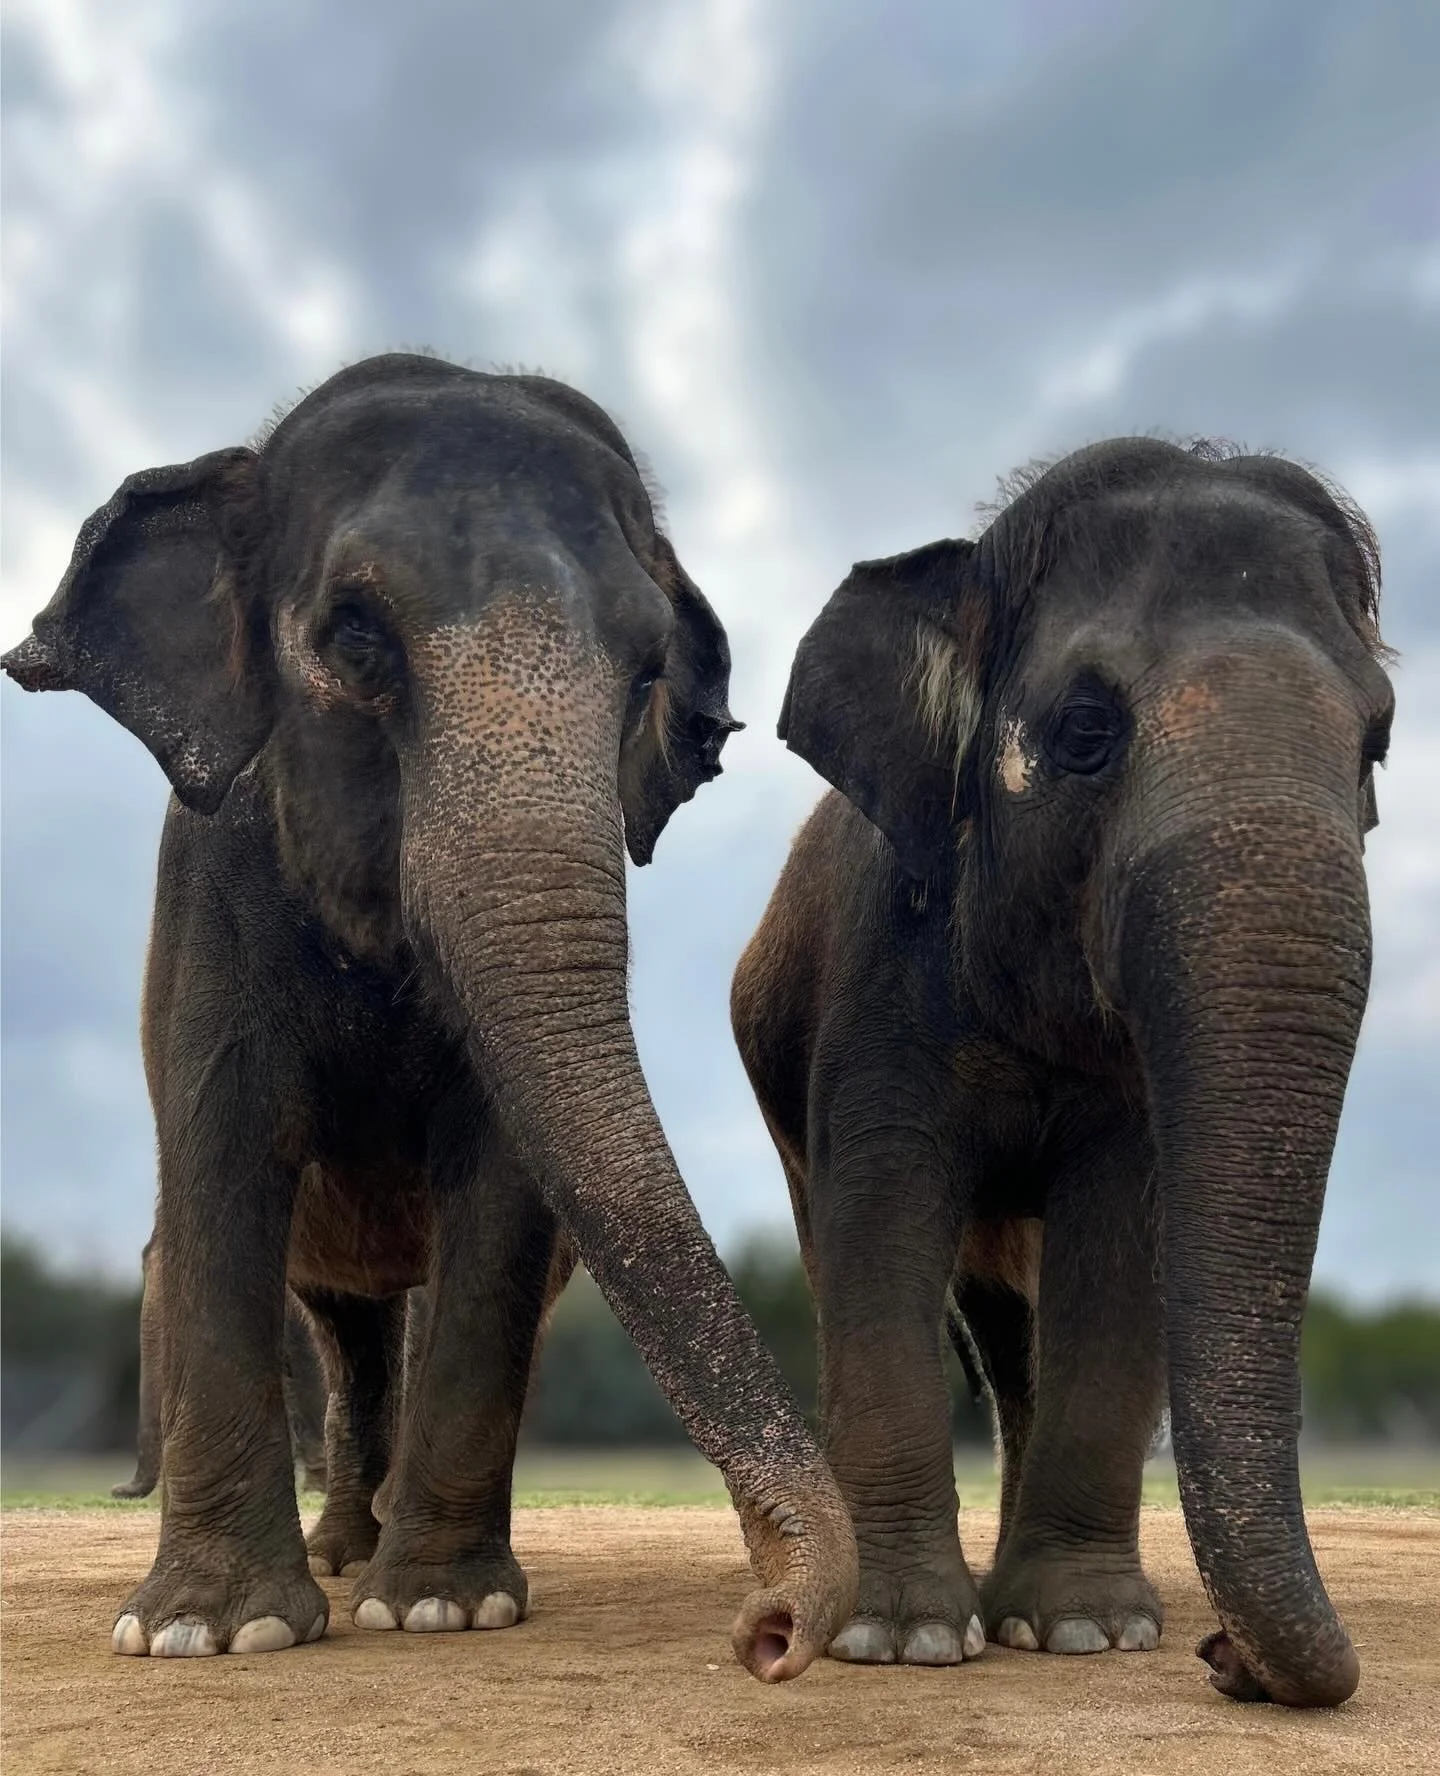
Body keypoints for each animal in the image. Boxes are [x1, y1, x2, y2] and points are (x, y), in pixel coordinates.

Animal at [731, 438, 1393, 1707]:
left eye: (1378, 741)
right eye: (1086, 729)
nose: (1226, 1658)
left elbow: (1116, 1243)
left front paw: (1085, 1629)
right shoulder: (879, 977)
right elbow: (883, 1217)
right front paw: (902, 1639)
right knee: (893, 1279)